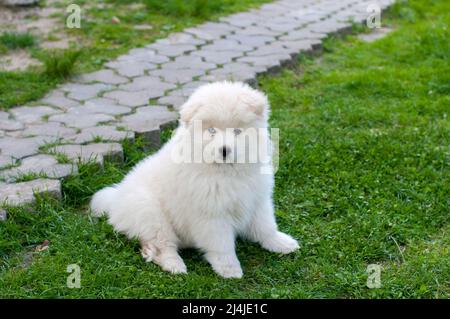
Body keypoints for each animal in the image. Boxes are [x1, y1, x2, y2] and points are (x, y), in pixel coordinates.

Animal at [90, 81, 298, 278]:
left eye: (237, 131)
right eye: (212, 131)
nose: (224, 150)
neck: (226, 172)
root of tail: (115, 199)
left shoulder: (257, 200)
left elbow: (265, 226)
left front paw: (282, 243)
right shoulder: (211, 214)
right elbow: (222, 245)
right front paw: (230, 269)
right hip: (150, 213)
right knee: (162, 245)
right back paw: (175, 266)